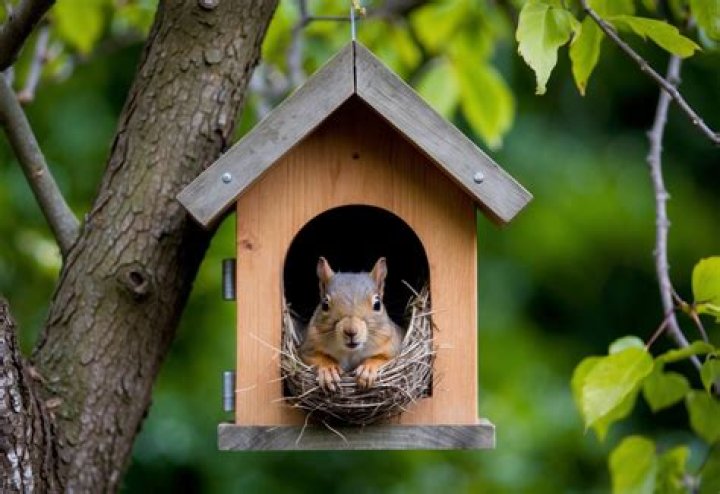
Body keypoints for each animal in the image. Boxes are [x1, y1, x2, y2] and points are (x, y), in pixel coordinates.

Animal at [300, 257, 402, 392]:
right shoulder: (308, 345)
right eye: (324, 305)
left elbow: (384, 358)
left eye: (377, 304)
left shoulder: (392, 345)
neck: (350, 352)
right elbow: (315, 356)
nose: (351, 331)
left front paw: (367, 369)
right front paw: (328, 369)